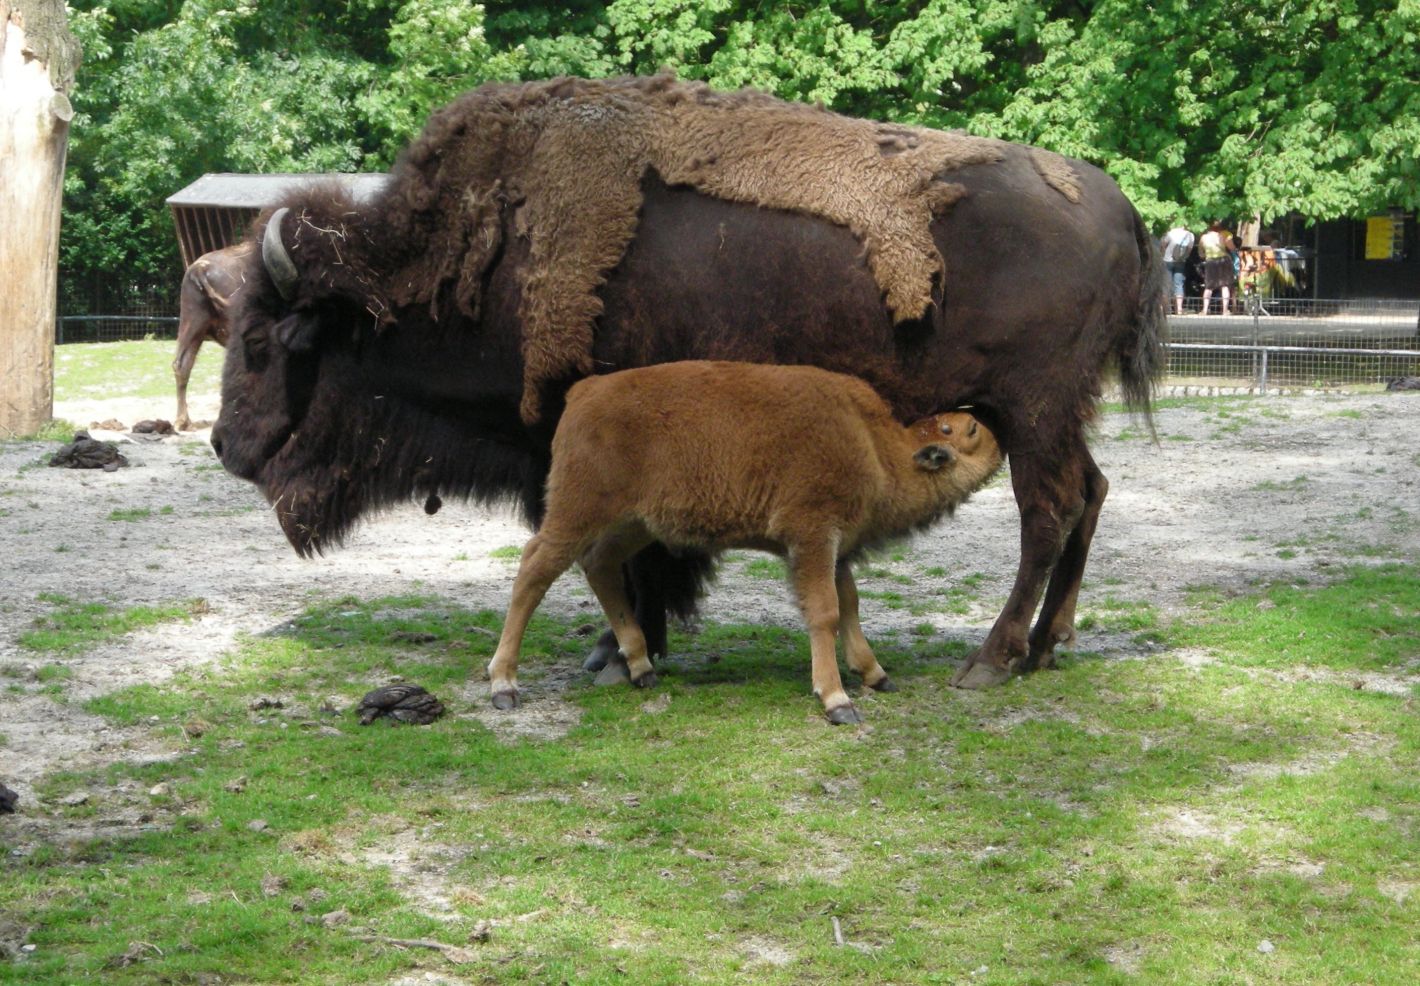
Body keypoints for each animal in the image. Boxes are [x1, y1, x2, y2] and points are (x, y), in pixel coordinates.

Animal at [210, 75, 1164, 687]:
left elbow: (637, 555)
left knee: (1046, 511)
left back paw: (992, 660)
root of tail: (1119, 206)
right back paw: (1048, 645)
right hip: (1053, 415)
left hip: (1033, 410)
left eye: (260, 339)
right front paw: (629, 646)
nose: (223, 443)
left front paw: (620, 650)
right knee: (1090, 494)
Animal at [494, 363, 1005, 727]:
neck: (876, 444)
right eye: (955, 432)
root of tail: (585, 392)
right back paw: (504, 686)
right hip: (578, 512)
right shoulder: (813, 536)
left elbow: (850, 604)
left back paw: (640, 667)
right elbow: (825, 611)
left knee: (599, 566)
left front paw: (876, 675)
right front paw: (836, 700)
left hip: (633, 523)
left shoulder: (832, 547)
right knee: (534, 569)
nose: (983, 421)